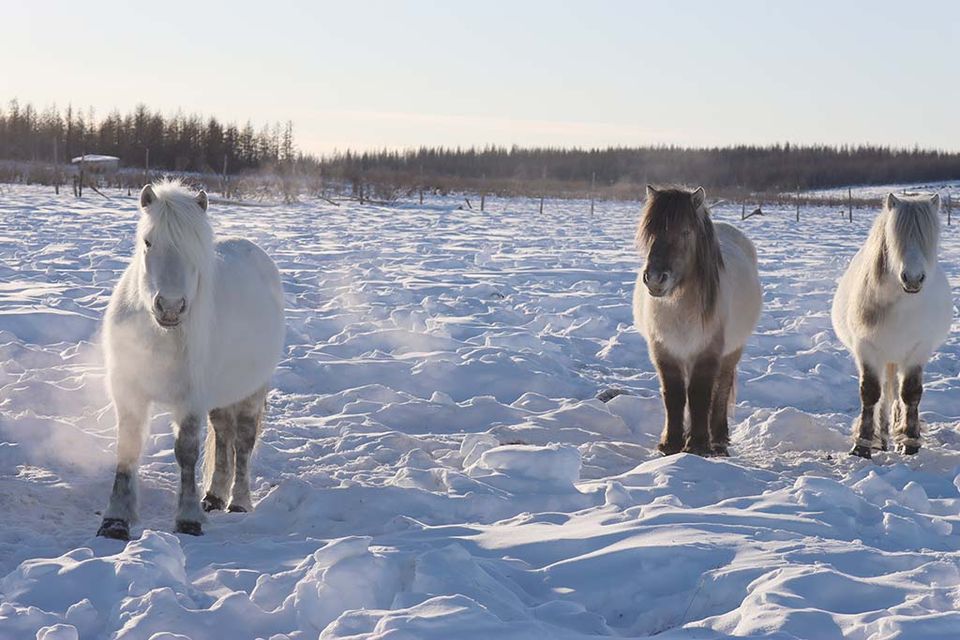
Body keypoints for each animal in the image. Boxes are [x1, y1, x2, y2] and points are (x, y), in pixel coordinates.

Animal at [97, 180, 285, 540]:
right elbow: (127, 448)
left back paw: (238, 502)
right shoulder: (127, 390)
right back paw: (213, 496)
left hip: (251, 390)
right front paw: (115, 519)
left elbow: (186, 452)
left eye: (196, 248)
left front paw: (187, 518)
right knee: (224, 435)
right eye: (148, 242)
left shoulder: (190, 399)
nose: (170, 307)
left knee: (243, 442)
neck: (158, 334)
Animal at [633, 186, 762, 456]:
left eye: (685, 232)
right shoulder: (664, 351)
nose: (655, 279)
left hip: (731, 352)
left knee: (721, 388)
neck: (679, 305)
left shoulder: (707, 352)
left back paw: (719, 438)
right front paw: (670, 443)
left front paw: (698, 444)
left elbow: (700, 394)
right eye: (651, 232)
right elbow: (674, 395)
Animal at [832, 192, 952, 458]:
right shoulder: (867, 349)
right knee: (885, 395)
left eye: (929, 238)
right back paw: (882, 436)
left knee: (896, 391)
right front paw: (863, 445)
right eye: (895, 239)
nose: (913, 278)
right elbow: (871, 393)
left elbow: (910, 393)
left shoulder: (918, 350)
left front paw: (910, 441)